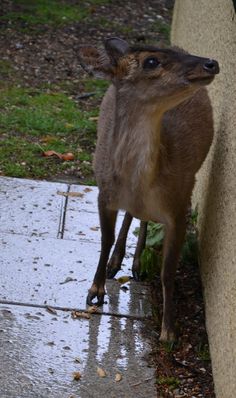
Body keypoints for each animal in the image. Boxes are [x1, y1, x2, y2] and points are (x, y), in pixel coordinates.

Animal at [79, 37, 219, 340]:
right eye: (151, 61)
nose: (211, 63)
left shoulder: (180, 205)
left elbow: (167, 271)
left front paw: (168, 331)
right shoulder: (103, 193)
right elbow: (105, 239)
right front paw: (95, 291)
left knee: (140, 218)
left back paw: (135, 264)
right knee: (133, 216)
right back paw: (117, 263)